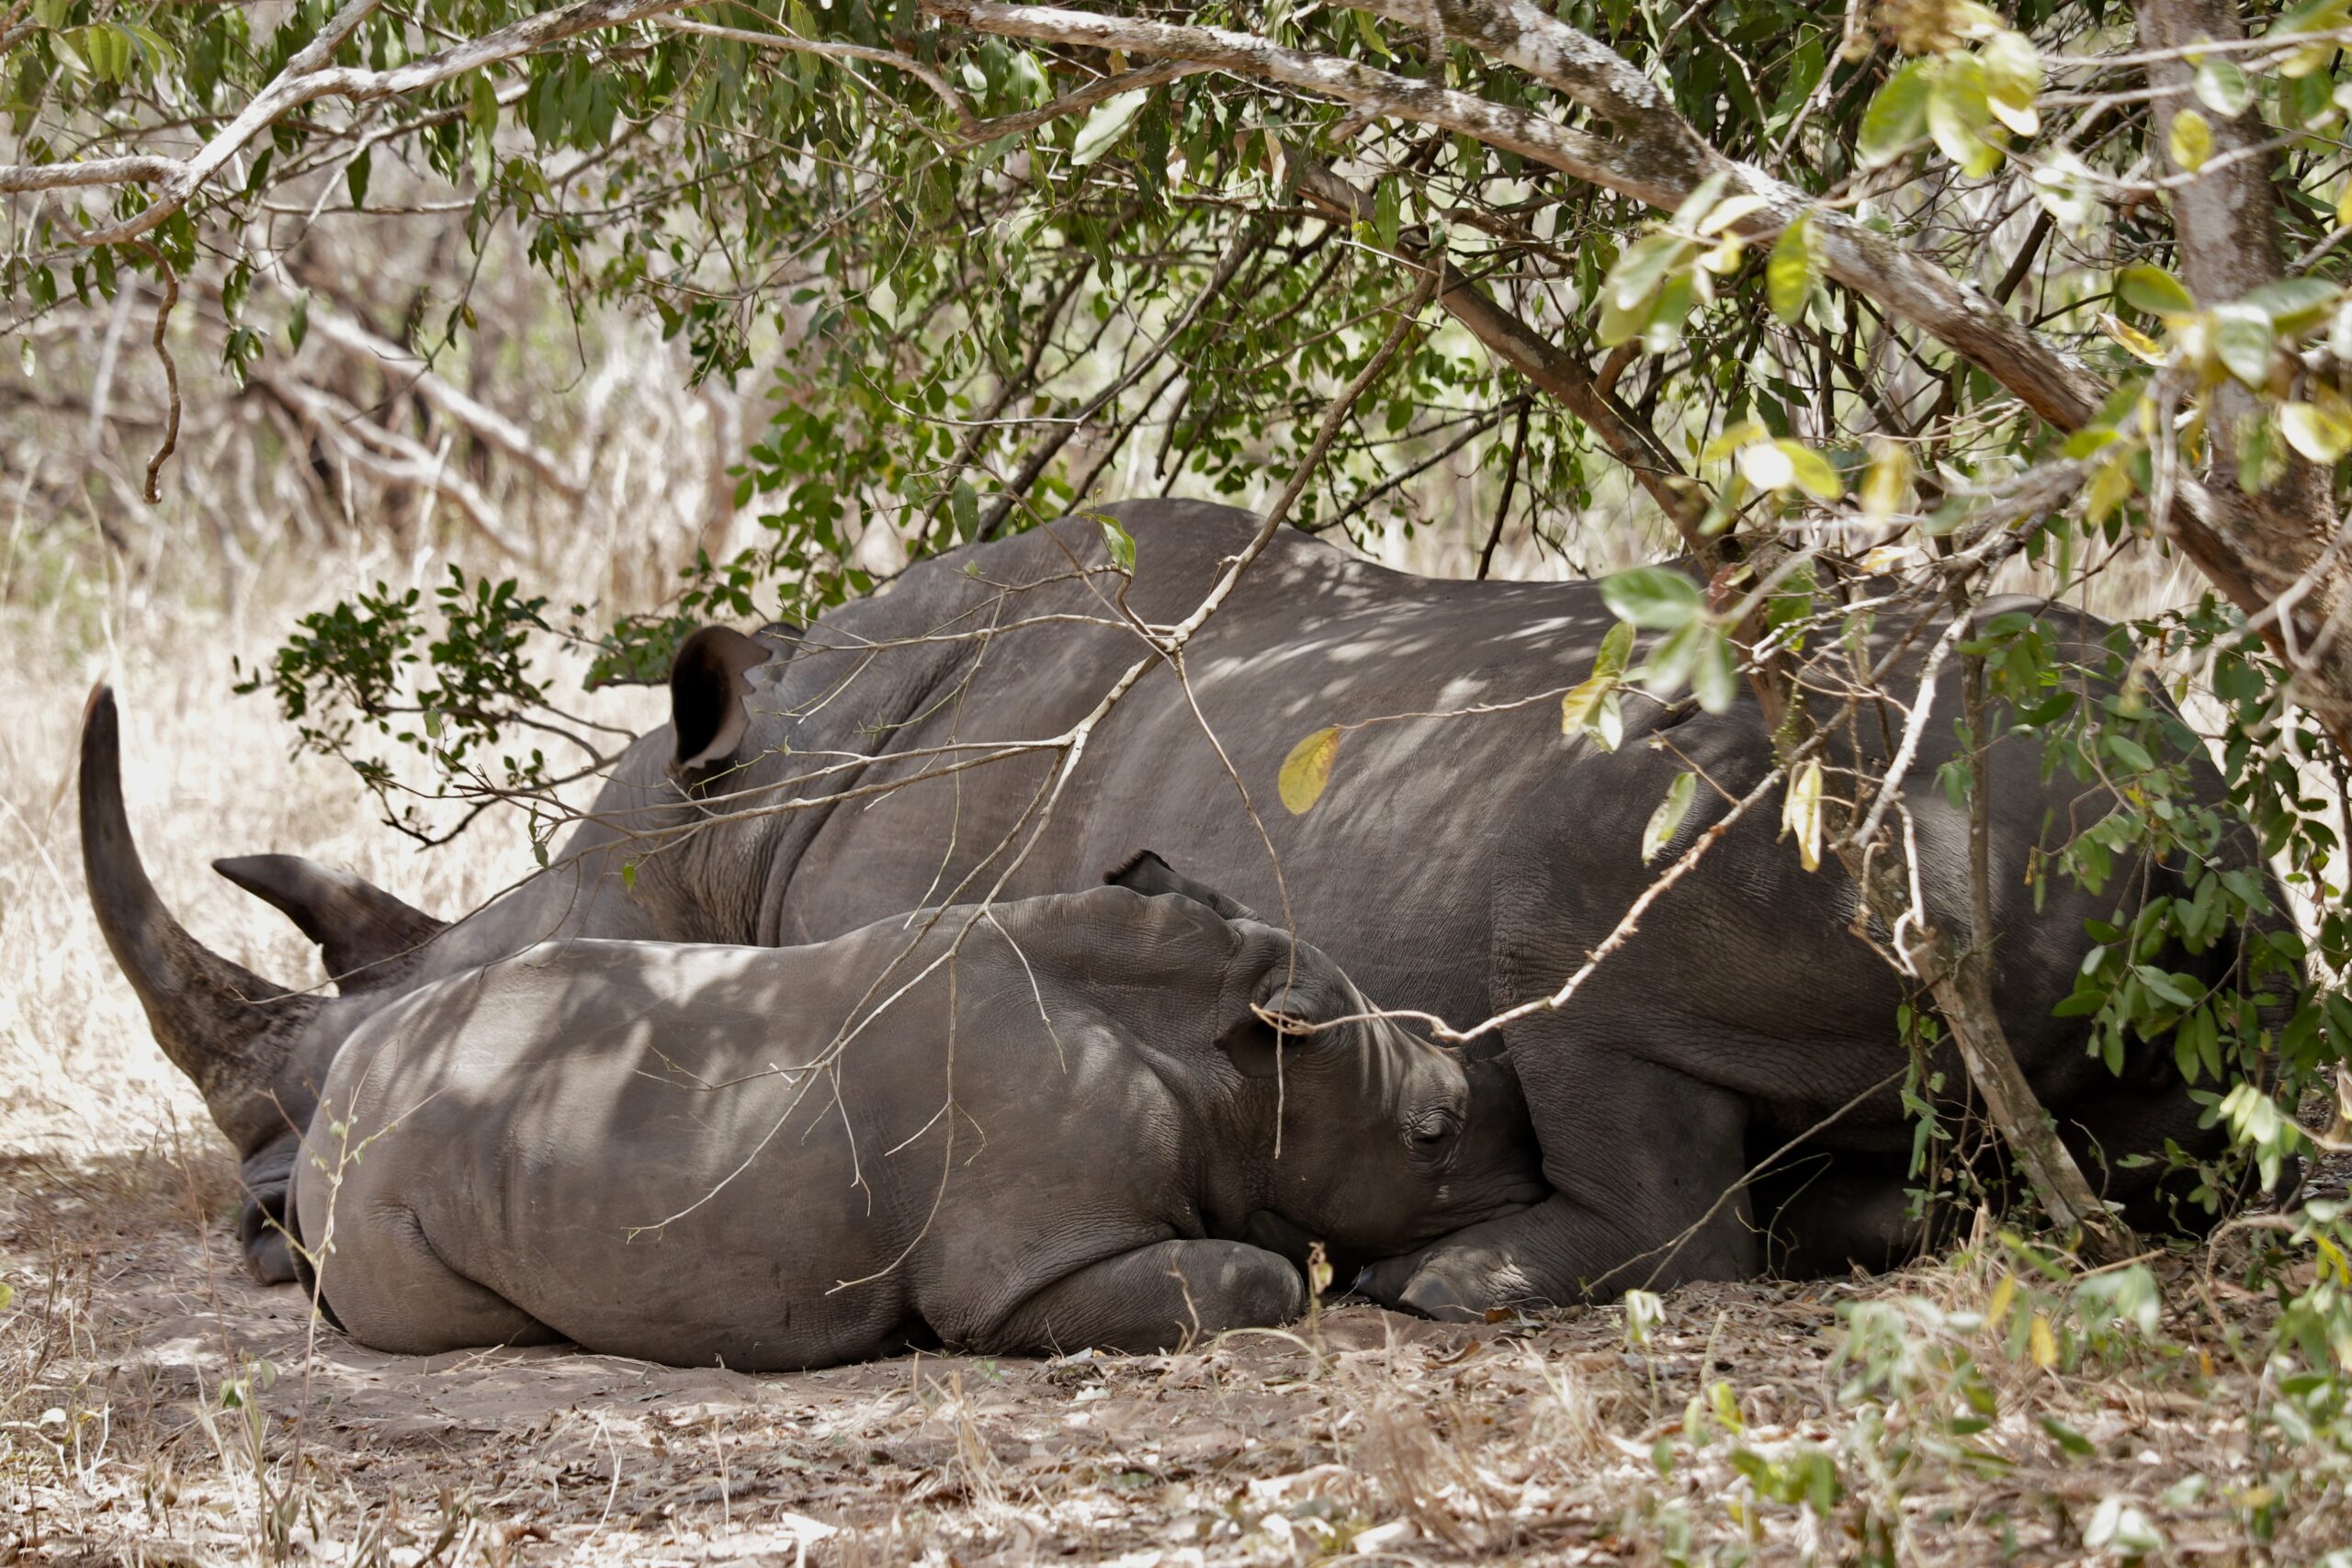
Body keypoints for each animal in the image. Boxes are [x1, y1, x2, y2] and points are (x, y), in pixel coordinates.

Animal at [83, 501, 2278, 1314]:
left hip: (1853, 787)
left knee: (1576, 935)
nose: (267, 1224)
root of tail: (2158, 810)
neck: (739, 813)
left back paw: (1447, 1288)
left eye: (416, 1010)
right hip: (2136, 838)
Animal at [289, 858, 1542, 1367]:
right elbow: (1261, 1277)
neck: (1218, 1054)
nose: (1534, 1176)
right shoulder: (1028, 1266)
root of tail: (335, 1098)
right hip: (376, 1189)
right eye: (1430, 1137)